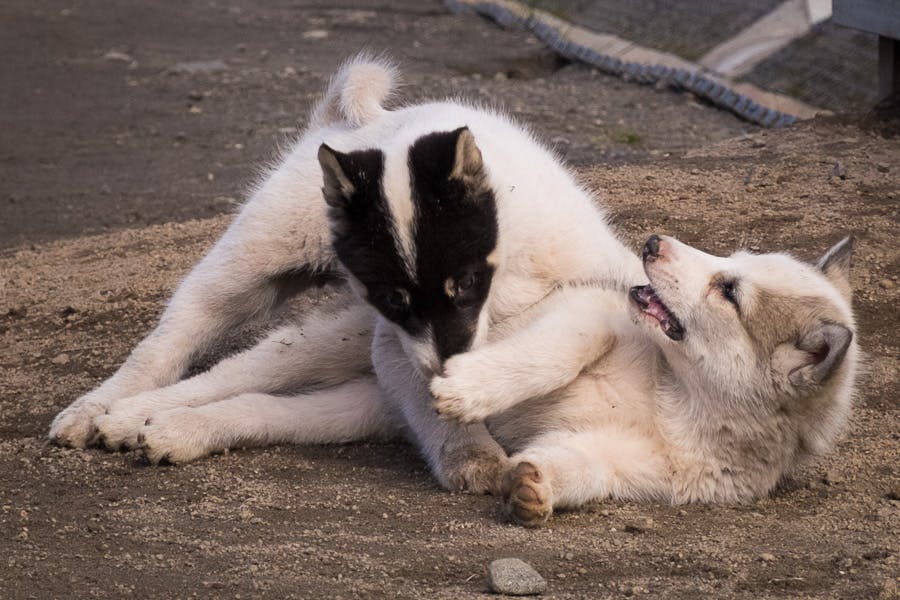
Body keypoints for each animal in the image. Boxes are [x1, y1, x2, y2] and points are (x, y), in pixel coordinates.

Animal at [51, 57, 856, 524]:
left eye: (729, 288)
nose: (654, 246)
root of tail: (366, 122)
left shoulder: (635, 459)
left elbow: (571, 461)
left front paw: (518, 474)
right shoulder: (562, 317)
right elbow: (549, 352)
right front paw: (473, 413)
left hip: (349, 394)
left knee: (253, 403)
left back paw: (166, 431)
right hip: (263, 281)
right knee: (189, 352)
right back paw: (108, 413)